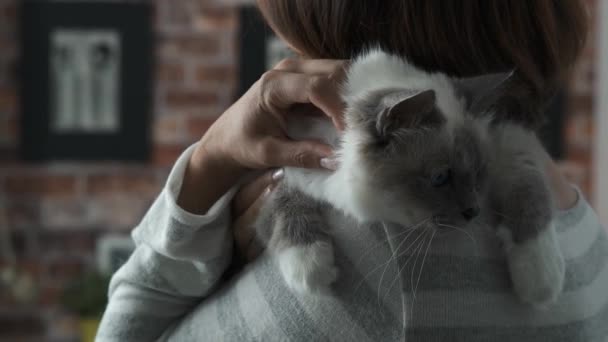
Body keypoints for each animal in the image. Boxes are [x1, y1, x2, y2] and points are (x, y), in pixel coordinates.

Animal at [255, 48, 564, 308]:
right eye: (440, 178)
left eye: (478, 172)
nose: (474, 212)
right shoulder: (290, 161)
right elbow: (285, 199)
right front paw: (309, 267)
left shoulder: (511, 141)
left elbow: (530, 189)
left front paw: (540, 279)